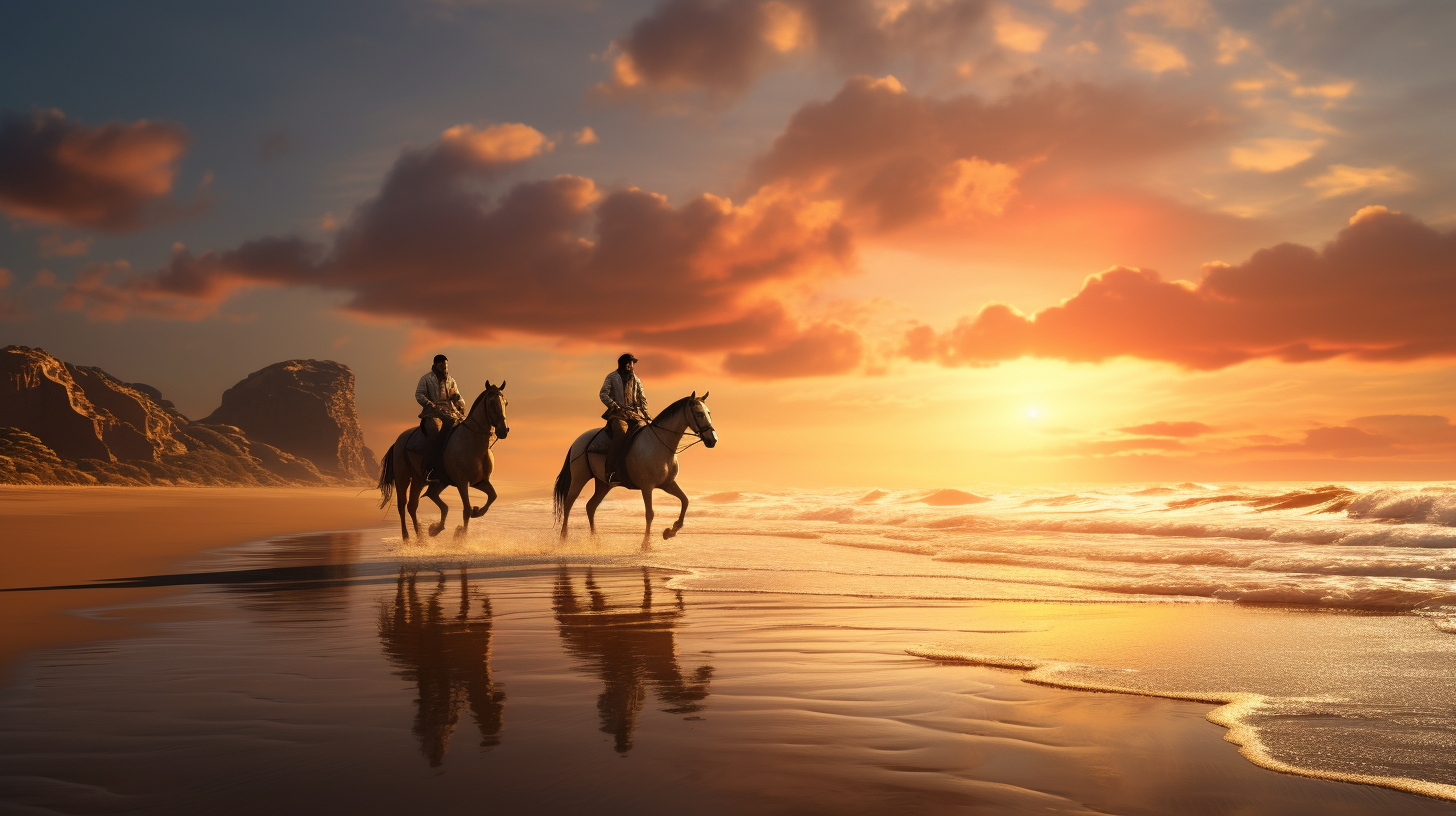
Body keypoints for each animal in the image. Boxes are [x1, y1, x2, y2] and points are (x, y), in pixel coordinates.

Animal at [378, 381, 509, 542]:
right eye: (492, 403)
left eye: (505, 403)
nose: (503, 430)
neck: (472, 442)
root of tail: (398, 441)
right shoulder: (462, 483)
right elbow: (466, 509)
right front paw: (460, 537)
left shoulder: (480, 481)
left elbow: (493, 496)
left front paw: (477, 511)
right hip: (403, 478)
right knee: (403, 505)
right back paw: (407, 538)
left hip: (421, 480)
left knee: (416, 504)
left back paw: (423, 538)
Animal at [550, 393, 716, 544]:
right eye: (699, 413)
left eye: (708, 413)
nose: (713, 440)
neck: (659, 444)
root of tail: (578, 441)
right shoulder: (647, 487)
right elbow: (650, 513)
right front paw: (646, 545)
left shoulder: (668, 484)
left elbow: (685, 500)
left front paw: (671, 531)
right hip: (580, 477)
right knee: (569, 502)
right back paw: (564, 537)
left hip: (603, 483)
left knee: (591, 506)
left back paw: (594, 540)